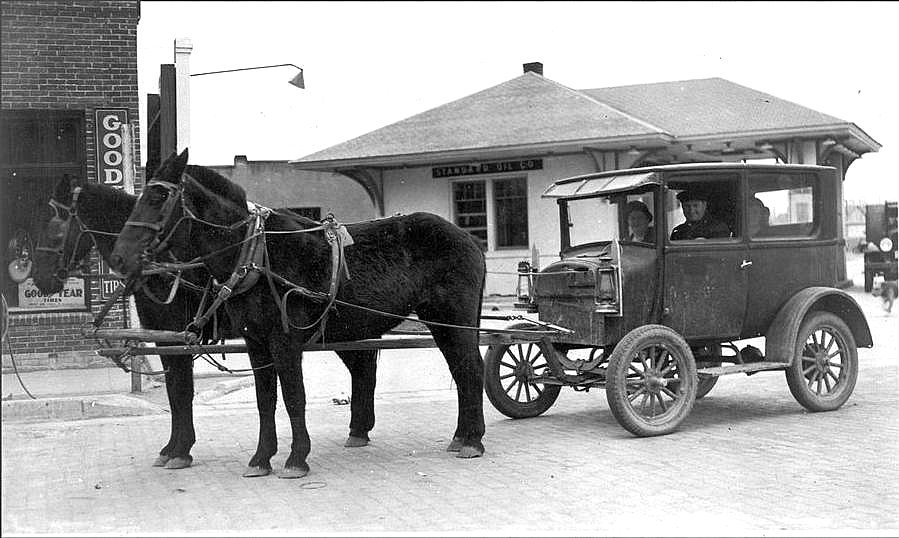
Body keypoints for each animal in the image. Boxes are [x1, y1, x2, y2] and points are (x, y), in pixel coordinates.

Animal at [30, 173, 380, 474]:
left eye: (55, 228)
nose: (40, 278)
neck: (164, 264)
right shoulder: (167, 338)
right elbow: (176, 392)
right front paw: (173, 448)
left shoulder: (172, 336)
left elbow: (180, 392)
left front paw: (179, 450)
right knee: (362, 369)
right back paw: (358, 430)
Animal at [110, 149, 492, 476]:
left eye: (157, 198)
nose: (118, 258)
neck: (258, 257)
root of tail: (470, 239)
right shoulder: (256, 342)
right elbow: (265, 401)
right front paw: (261, 458)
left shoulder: (285, 340)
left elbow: (294, 397)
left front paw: (296, 458)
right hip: (440, 322)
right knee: (460, 372)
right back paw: (461, 436)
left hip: (453, 319)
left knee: (471, 369)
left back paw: (472, 440)